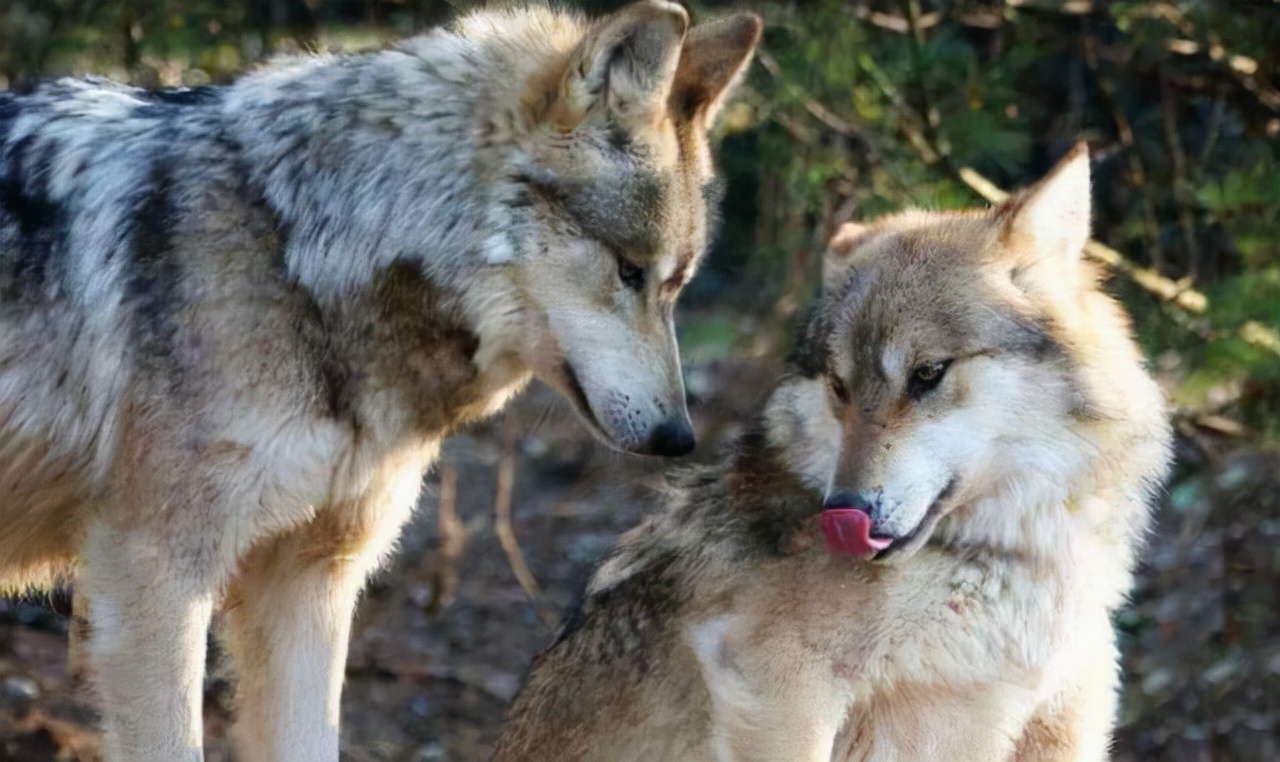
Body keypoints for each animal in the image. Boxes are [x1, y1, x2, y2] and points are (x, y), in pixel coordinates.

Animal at [0, 2, 757, 758]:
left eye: (676, 284)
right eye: (628, 270)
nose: (678, 436)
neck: (302, 255)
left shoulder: (309, 579)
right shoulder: (153, 580)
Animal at [494, 144, 1172, 762]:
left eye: (927, 374)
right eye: (840, 387)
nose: (844, 510)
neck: (1007, 557)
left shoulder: (1065, 722)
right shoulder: (774, 684)